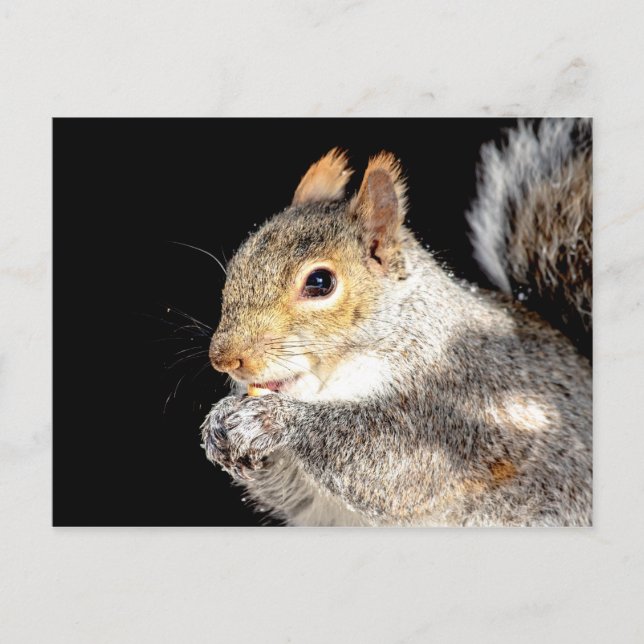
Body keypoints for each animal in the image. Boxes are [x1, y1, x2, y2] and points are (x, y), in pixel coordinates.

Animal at [201, 119, 592, 527]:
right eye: (237, 265)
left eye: (320, 282)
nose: (224, 359)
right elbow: (291, 492)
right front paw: (218, 423)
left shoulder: (452, 410)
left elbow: (394, 463)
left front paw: (270, 420)